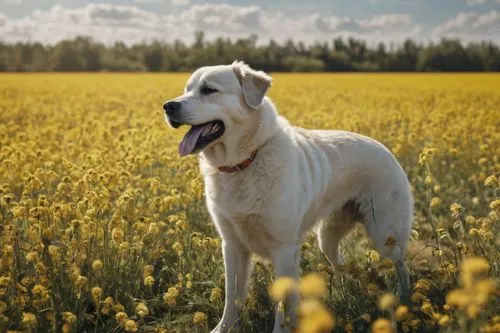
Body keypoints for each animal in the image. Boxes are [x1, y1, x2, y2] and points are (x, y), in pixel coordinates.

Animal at [164, 61, 414, 330]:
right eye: (187, 90)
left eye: (209, 90)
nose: (168, 106)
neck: (246, 162)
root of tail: (385, 149)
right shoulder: (232, 245)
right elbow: (232, 297)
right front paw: (224, 328)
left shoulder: (283, 248)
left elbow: (282, 306)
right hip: (327, 237)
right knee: (341, 263)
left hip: (385, 235)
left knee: (402, 268)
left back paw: (404, 301)